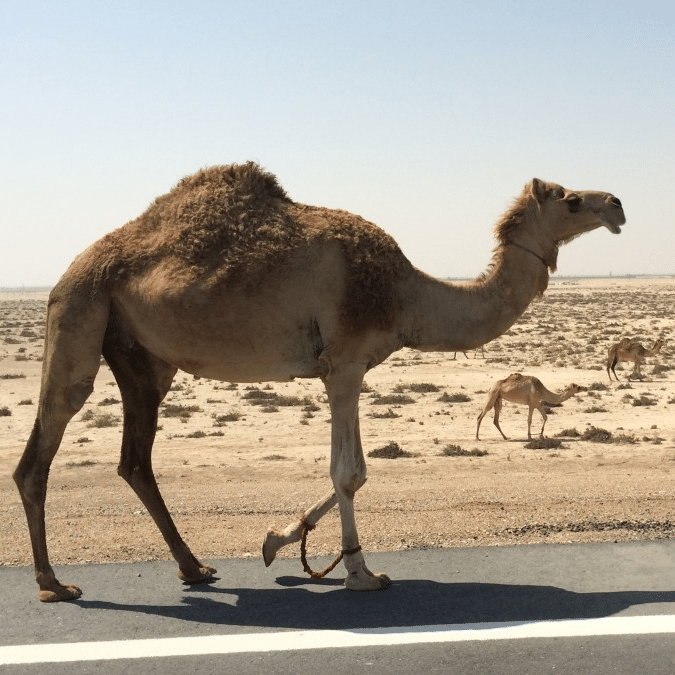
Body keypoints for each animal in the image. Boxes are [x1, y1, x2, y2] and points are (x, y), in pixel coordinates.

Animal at [13, 162, 624, 602]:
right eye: (570, 198)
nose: (616, 204)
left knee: (134, 460)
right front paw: (360, 574)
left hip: (142, 357)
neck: (405, 294)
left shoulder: (344, 367)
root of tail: (73, 269)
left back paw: (194, 568)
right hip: (79, 310)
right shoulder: (346, 363)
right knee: (43, 447)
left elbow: (356, 472)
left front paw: (279, 539)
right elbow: (350, 473)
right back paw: (54, 584)